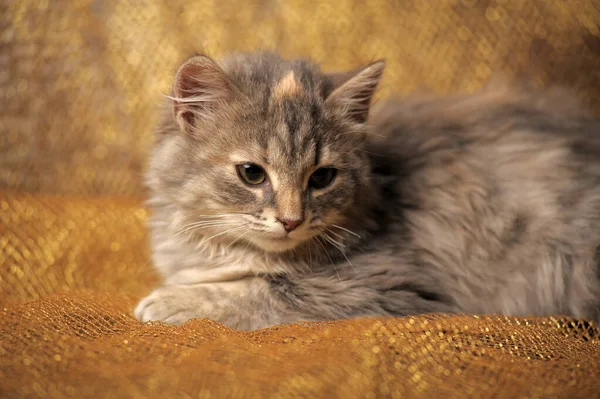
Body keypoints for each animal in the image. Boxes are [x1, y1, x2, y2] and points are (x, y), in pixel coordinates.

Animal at [135, 50, 600, 332]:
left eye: (322, 178)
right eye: (252, 174)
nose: (291, 220)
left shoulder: (381, 285)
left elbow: (260, 290)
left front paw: (172, 302)